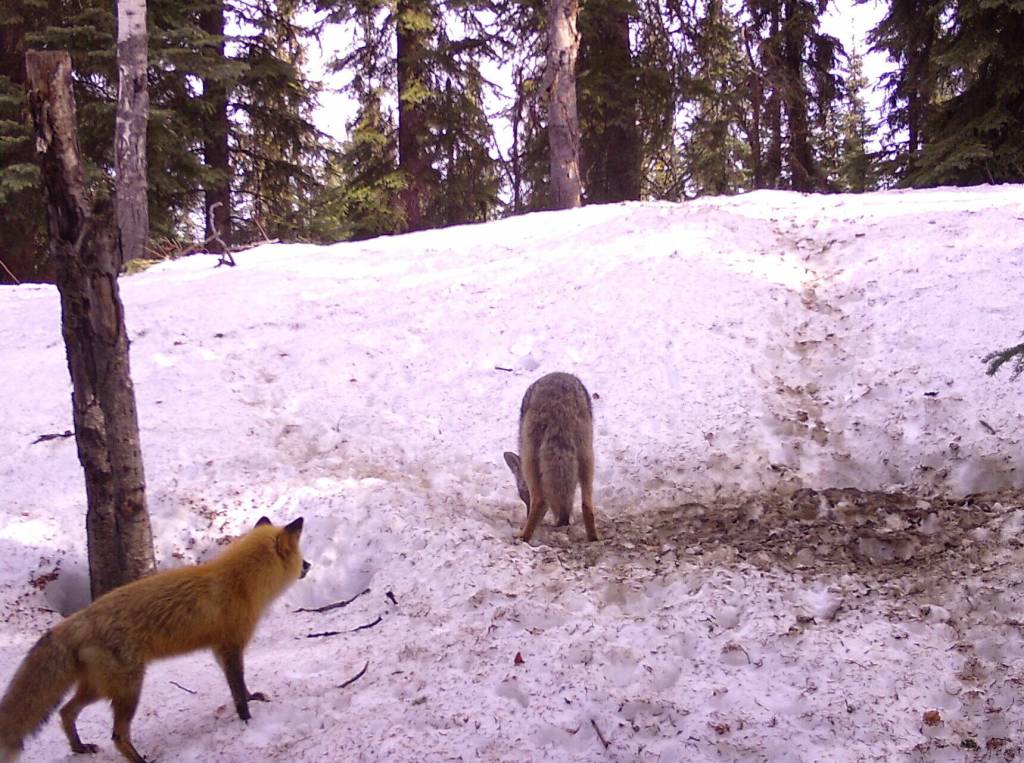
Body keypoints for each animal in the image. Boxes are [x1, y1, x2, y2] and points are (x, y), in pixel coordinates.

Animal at [0, 516, 310, 763]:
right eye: (300, 556)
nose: (308, 565)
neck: (239, 583)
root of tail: (76, 620)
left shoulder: (220, 651)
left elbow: (240, 687)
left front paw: (251, 699)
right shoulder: (231, 647)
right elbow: (237, 692)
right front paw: (246, 720)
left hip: (100, 688)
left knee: (66, 712)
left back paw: (79, 748)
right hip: (129, 689)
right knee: (117, 735)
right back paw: (139, 760)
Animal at [503, 372, 598, 542]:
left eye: (523, 495)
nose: (526, 514)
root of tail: (558, 403)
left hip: (531, 460)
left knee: (540, 501)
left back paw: (523, 537)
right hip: (587, 457)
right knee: (586, 504)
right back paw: (593, 538)